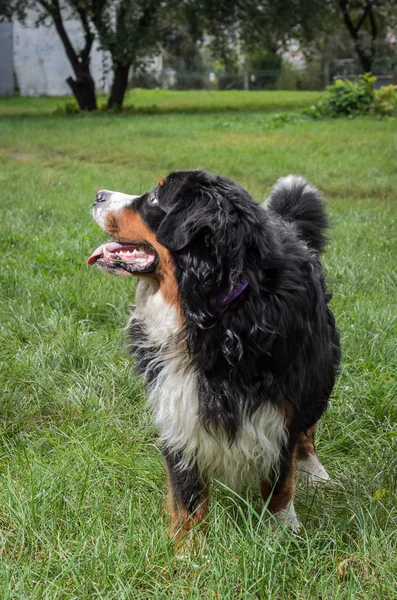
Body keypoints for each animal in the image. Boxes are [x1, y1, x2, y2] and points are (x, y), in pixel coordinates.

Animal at [87, 170, 340, 548]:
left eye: (154, 199)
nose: (99, 195)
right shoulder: (178, 401)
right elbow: (187, 493)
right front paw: (188, 550)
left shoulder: (282, 404)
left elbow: (280, 481)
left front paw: (280, 535)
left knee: (307, 431)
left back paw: (316, 472)